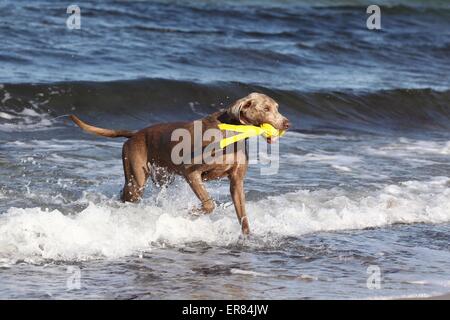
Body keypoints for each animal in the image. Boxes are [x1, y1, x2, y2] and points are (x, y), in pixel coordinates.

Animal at [68, 92, 290, 235]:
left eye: (277, 108)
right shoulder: (191, 173)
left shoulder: (236, 182)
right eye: (266, 108)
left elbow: (243, 214)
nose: (287, 123)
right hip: (136, 179)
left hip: (161, 177)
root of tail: (135, 134)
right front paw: (188, 212)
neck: (233, 132)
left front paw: (247, 237)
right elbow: (209, 204)